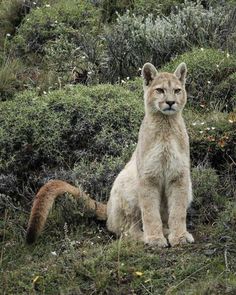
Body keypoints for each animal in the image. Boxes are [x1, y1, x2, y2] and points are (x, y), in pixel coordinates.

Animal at [26, 62, 195, 247]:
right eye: (160, 90)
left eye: (177, 90)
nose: (171, 102)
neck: (166, 126)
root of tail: (107, 206)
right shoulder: (148, 178)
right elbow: (150, 212)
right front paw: (155, 239)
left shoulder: (179, 177)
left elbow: (178, 211)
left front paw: (179, 236)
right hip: (127, 185)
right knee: (125, 230)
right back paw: (150, 236)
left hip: (188, 188)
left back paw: (171, 231)